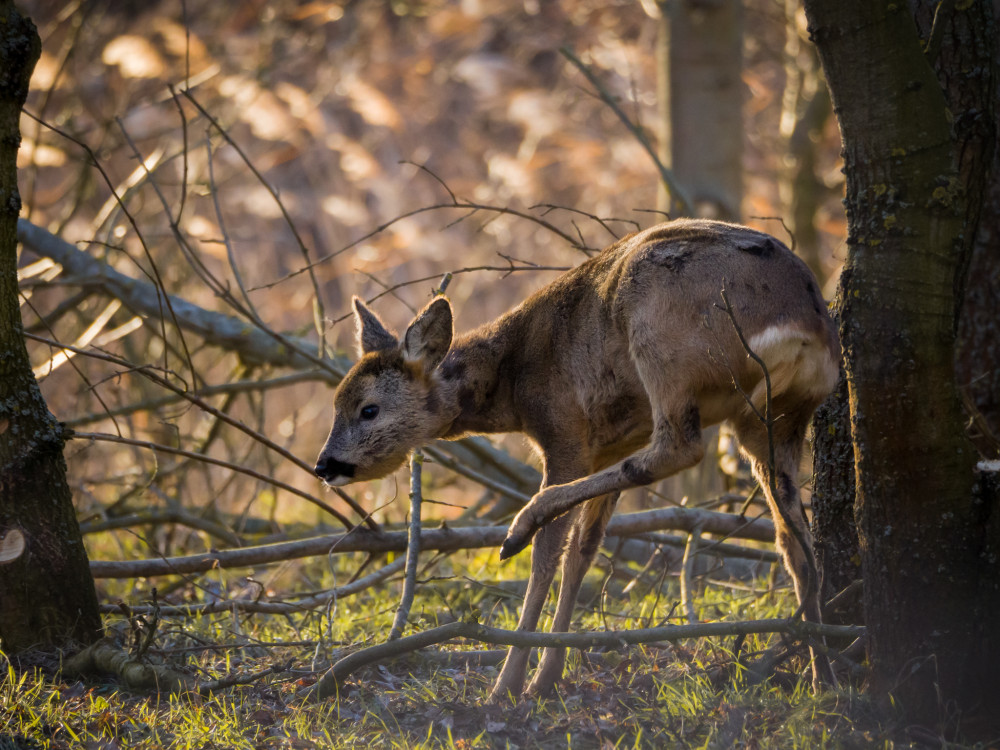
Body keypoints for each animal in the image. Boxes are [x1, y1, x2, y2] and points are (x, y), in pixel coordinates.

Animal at [316, 220, 840, 704]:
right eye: (336, 403)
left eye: (368, 409)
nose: (324, 465)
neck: (511, 380)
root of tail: (802, 320)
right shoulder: (613, 443)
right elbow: (583, 551)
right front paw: (546, 677)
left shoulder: (565, 433)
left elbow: (549, 555)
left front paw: (508, 685)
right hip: (775, 419)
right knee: (794, 541)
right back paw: (822, 675)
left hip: (662, 341)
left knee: (682, 447)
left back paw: (521, 524)